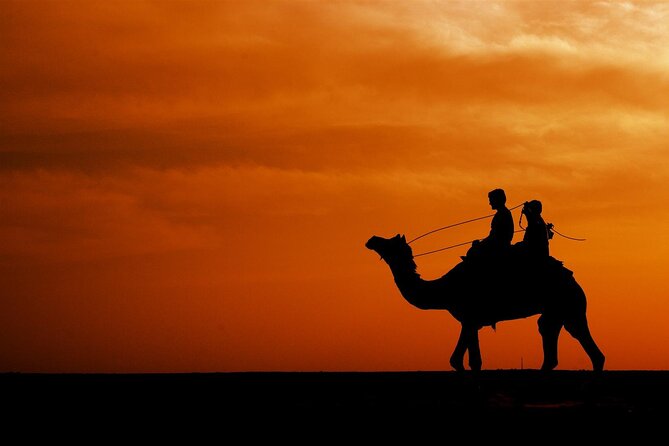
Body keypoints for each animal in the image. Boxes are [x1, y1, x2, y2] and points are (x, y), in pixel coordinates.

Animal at [365, 234, 605, 372]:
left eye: (389, 242)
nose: (372, 239)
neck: (445, 289)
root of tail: (575, 283)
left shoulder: (470, 318)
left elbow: (466, 361)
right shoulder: (470, 321)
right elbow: (464, 361)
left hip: (567, 306)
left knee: (585, 349)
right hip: (560, 312)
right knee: (559, 341)